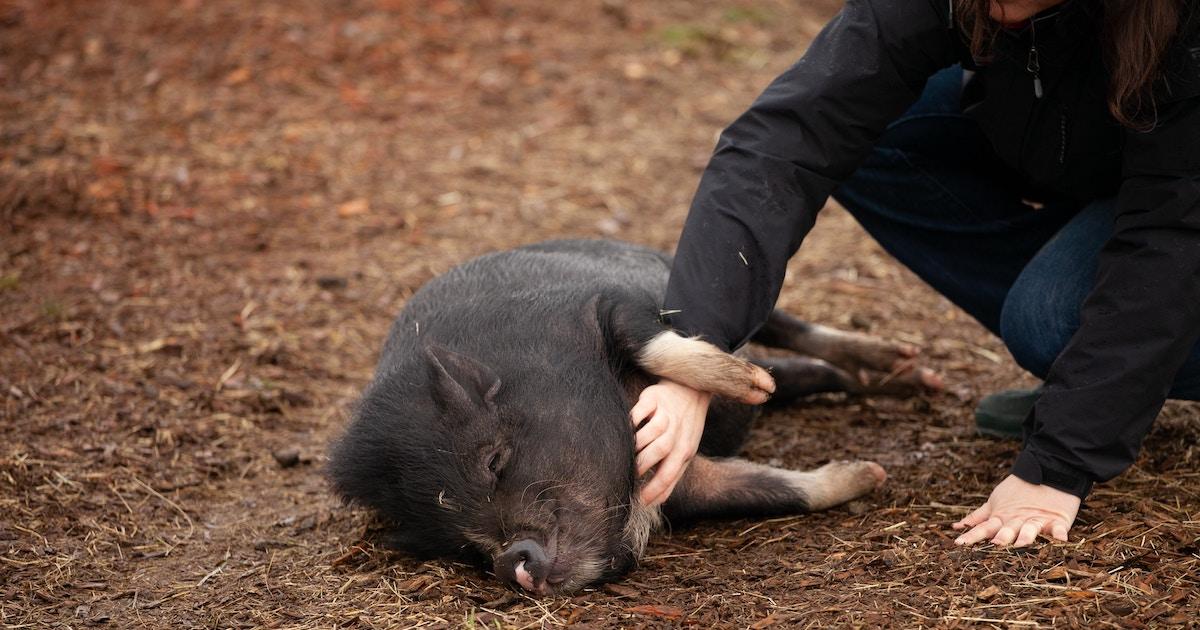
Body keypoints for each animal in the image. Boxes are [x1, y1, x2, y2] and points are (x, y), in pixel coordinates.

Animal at [328, 240, 936, 595]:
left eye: (495, 460)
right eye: (456, 543)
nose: (509, 563)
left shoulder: (608, 304)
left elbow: (654, 342)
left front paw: (747, 386)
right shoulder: (687, 484)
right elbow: (774, 491)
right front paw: (869, 474)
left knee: (791, 328)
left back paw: (907, 369)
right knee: (799, 370)